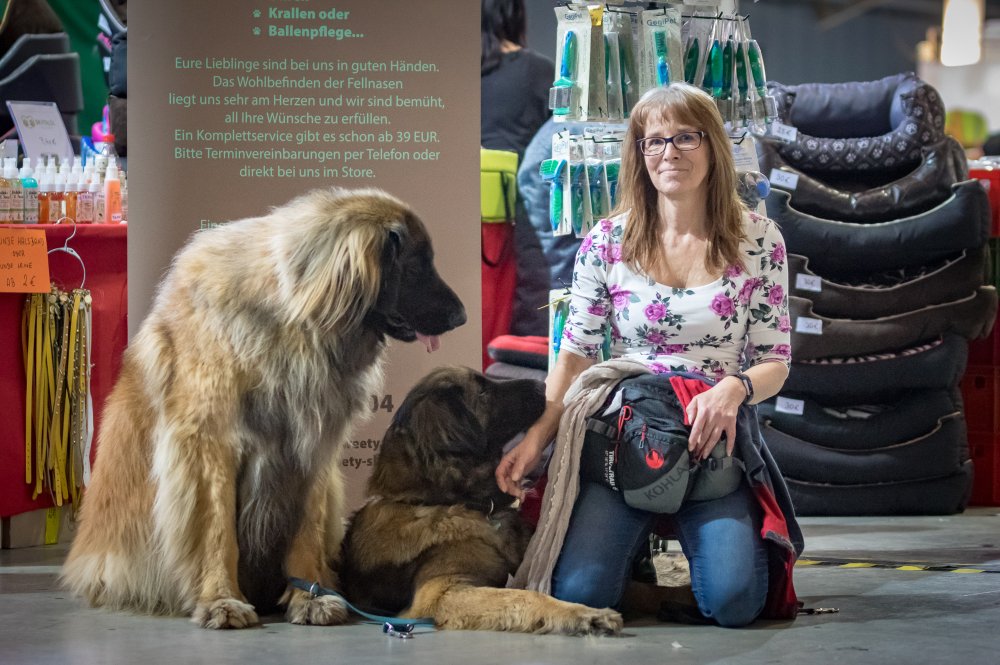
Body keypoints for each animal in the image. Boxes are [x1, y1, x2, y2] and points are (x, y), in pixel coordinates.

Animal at [61, 187, 466, 629]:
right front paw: (221, 600)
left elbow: (306, 528)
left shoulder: (312, 445)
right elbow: (218, 532)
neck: (291, 324)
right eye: (416, 264)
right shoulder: (209, 446)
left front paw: (310, 595)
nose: (462, 317)